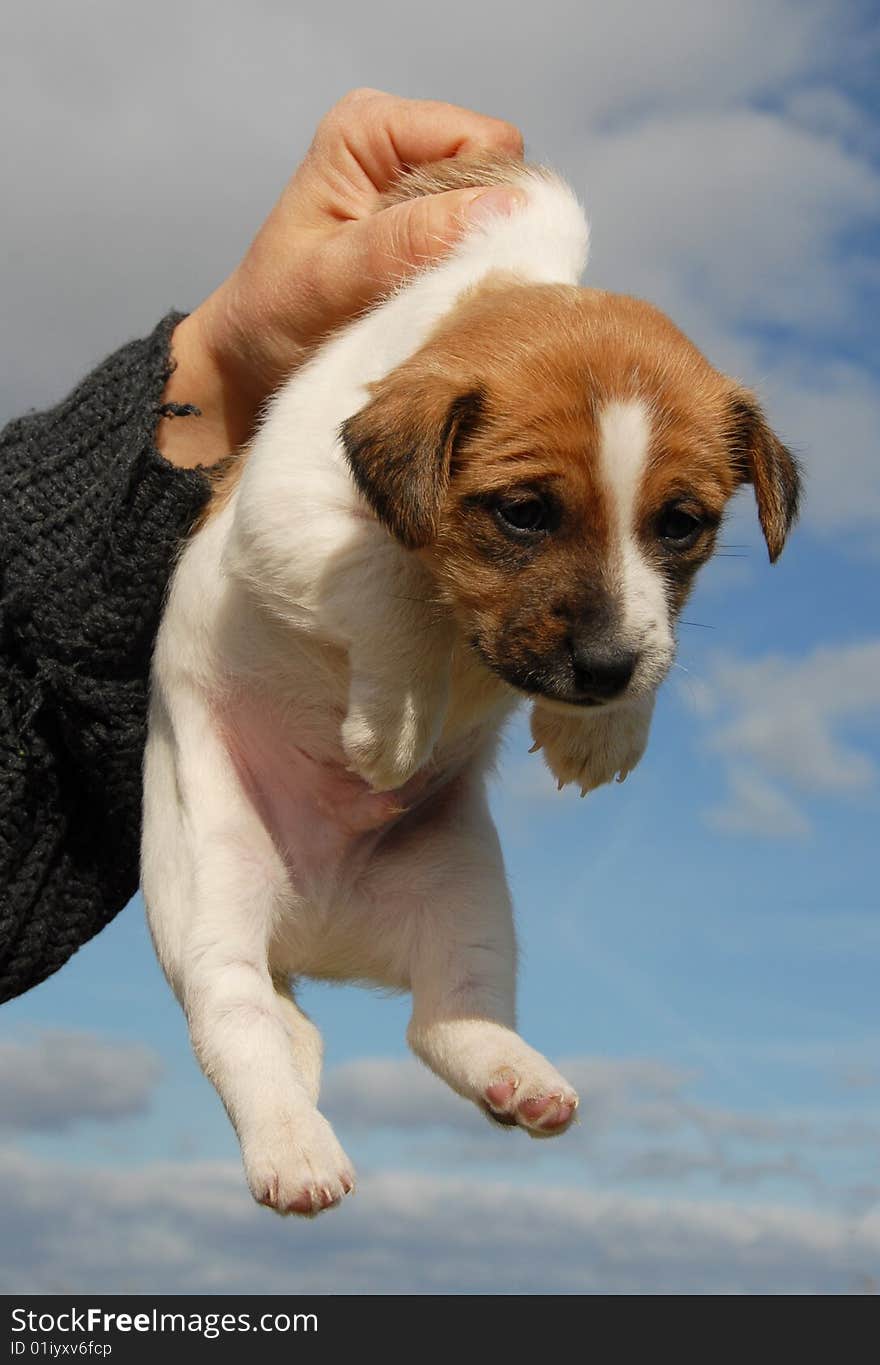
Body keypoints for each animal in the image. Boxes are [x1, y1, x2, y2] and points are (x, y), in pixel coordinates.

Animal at [140, 154, 802, 1223]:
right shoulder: (290, 509)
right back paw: (293, 1143)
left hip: (466, 892)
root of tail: (318, 930)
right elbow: (396, 574)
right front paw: (394, 722)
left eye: (682, 524)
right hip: (210, 887)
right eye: (523, 513)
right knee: (238, 1020)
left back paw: (513, 1074)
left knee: (443, 1017)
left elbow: (648, 621)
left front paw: (607, 728)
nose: (604, 675)